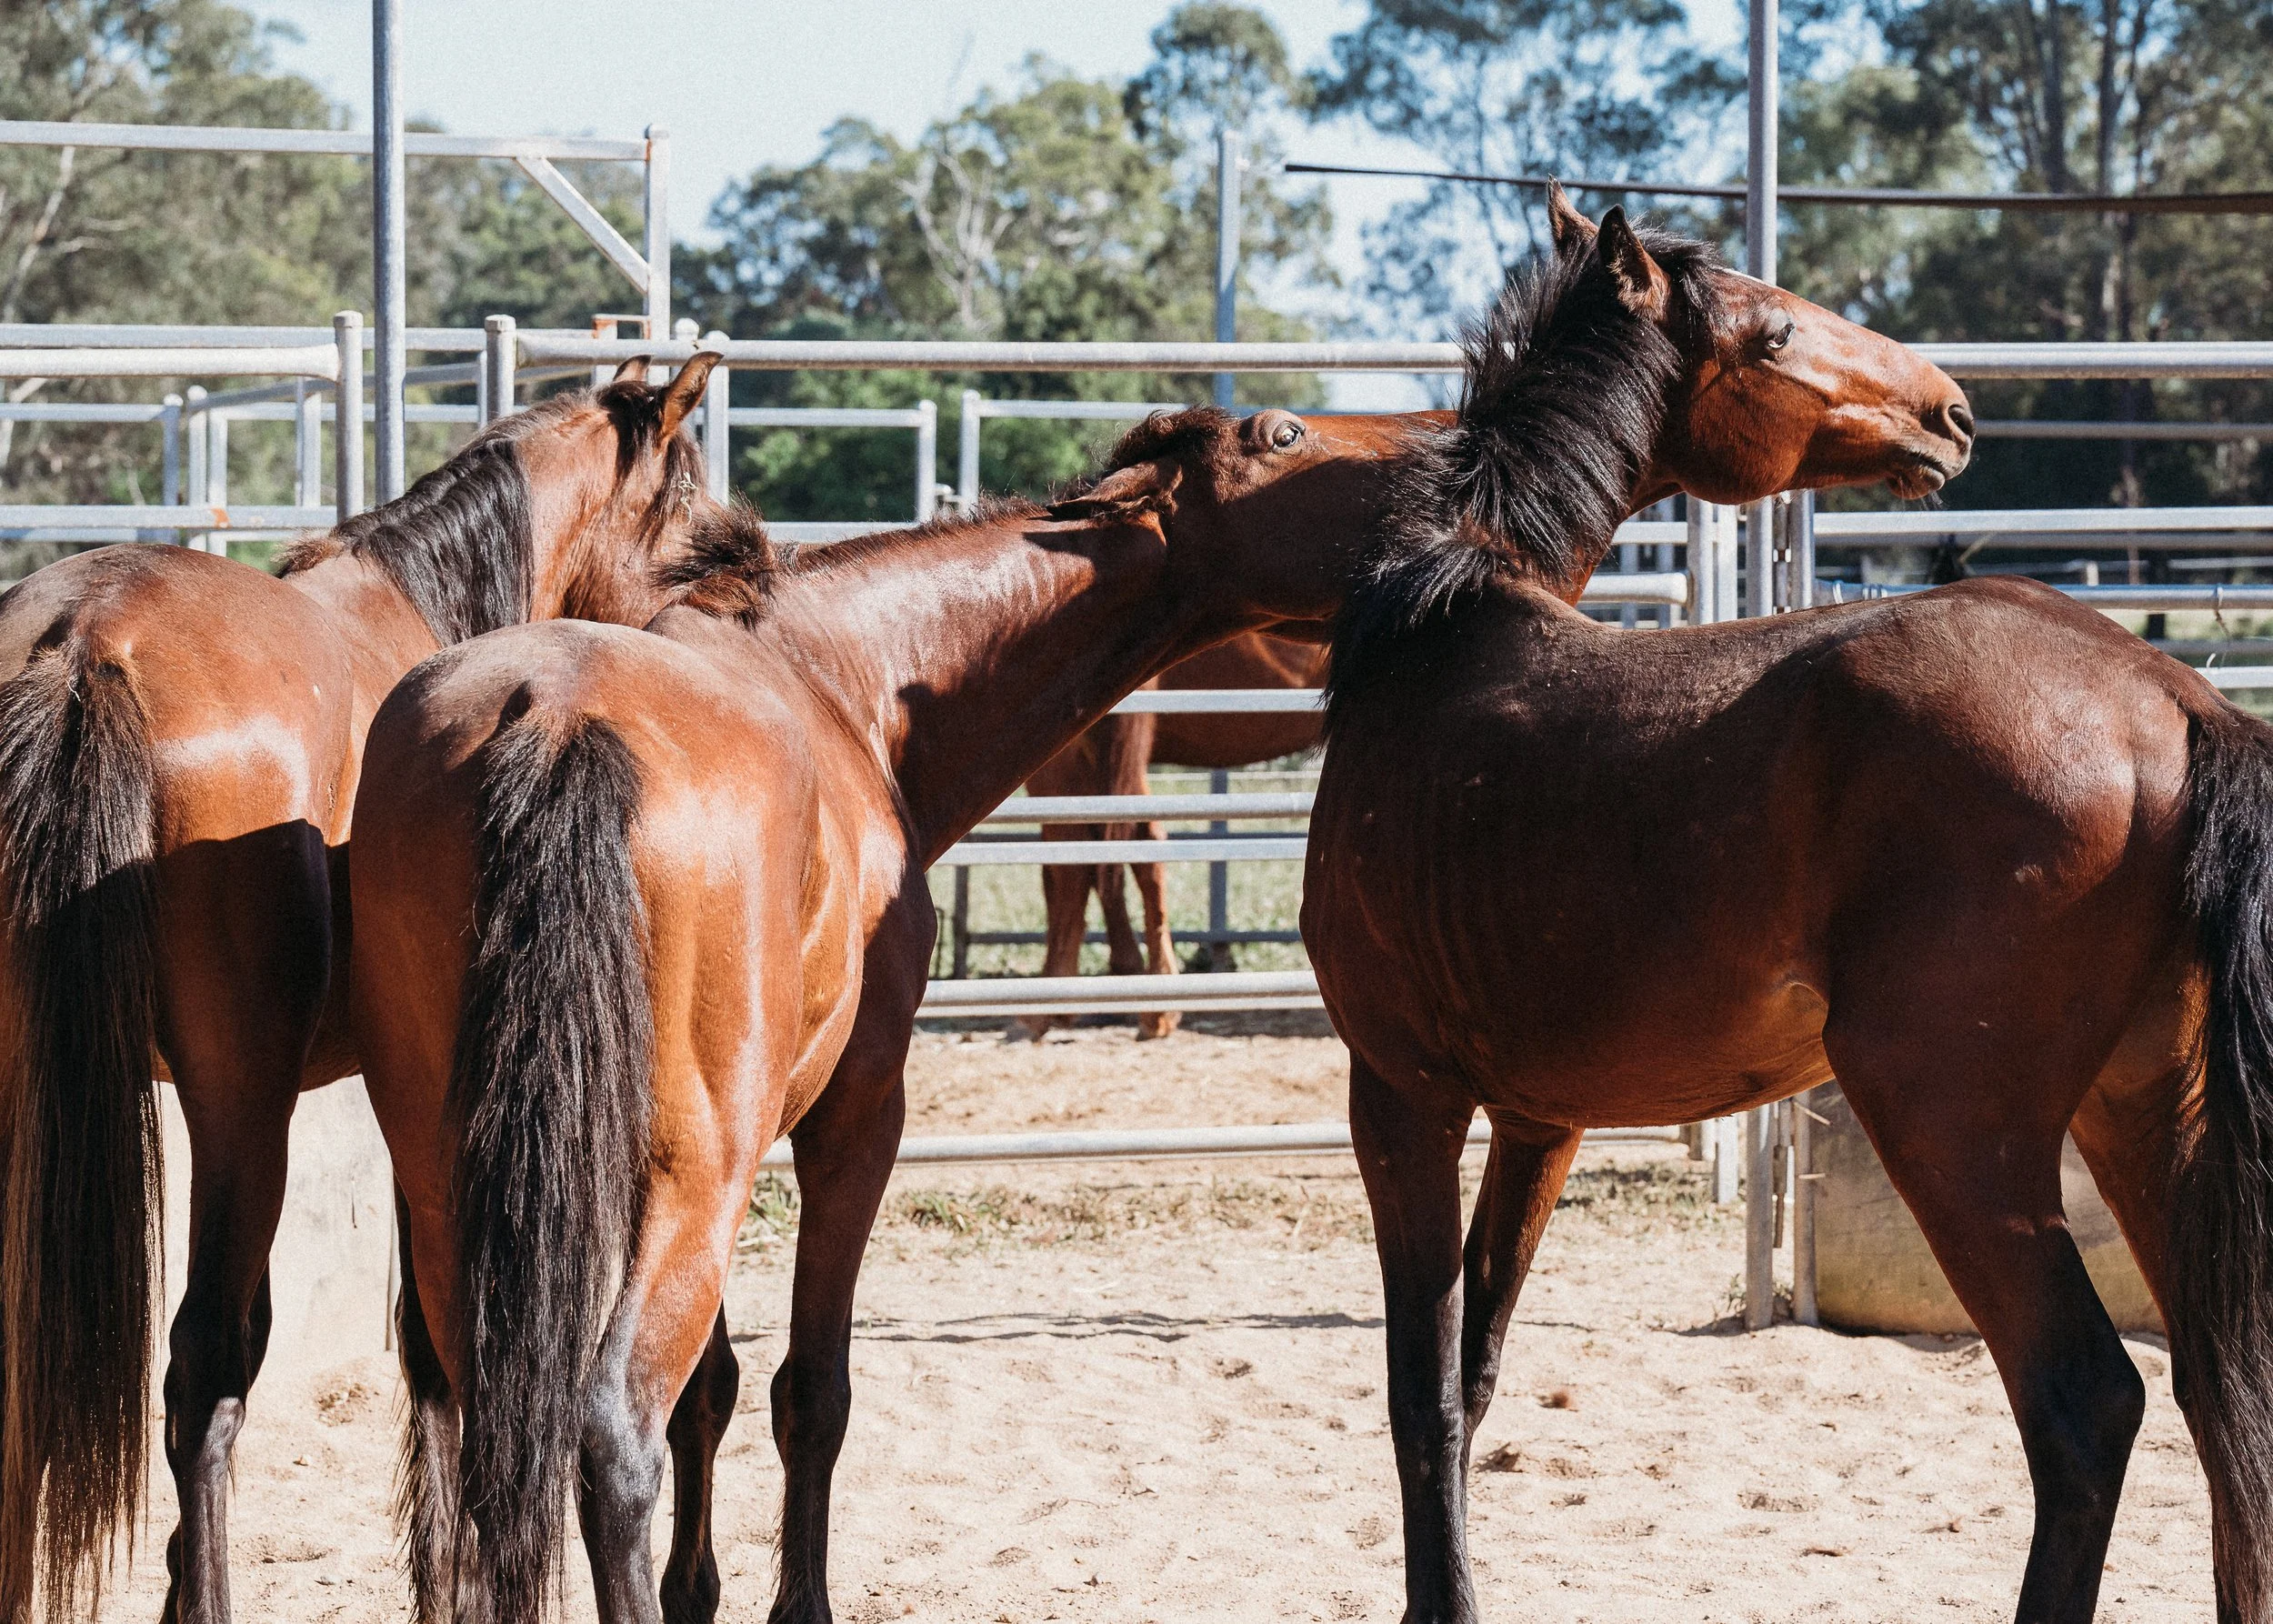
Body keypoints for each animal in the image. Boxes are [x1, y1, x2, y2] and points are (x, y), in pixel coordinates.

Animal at [1302, 208, 2273, 1624]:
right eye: (1769, 333)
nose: (1951, 413)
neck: (1441, 633)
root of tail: (2172, 697)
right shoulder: (1541, 1118)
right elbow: (1473, 1376)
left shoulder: (1402, 1095)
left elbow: (1418, 1395)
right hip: (2142, 1117)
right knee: (2223, 1399)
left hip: (1954, 1127)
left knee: (2087, 1404)